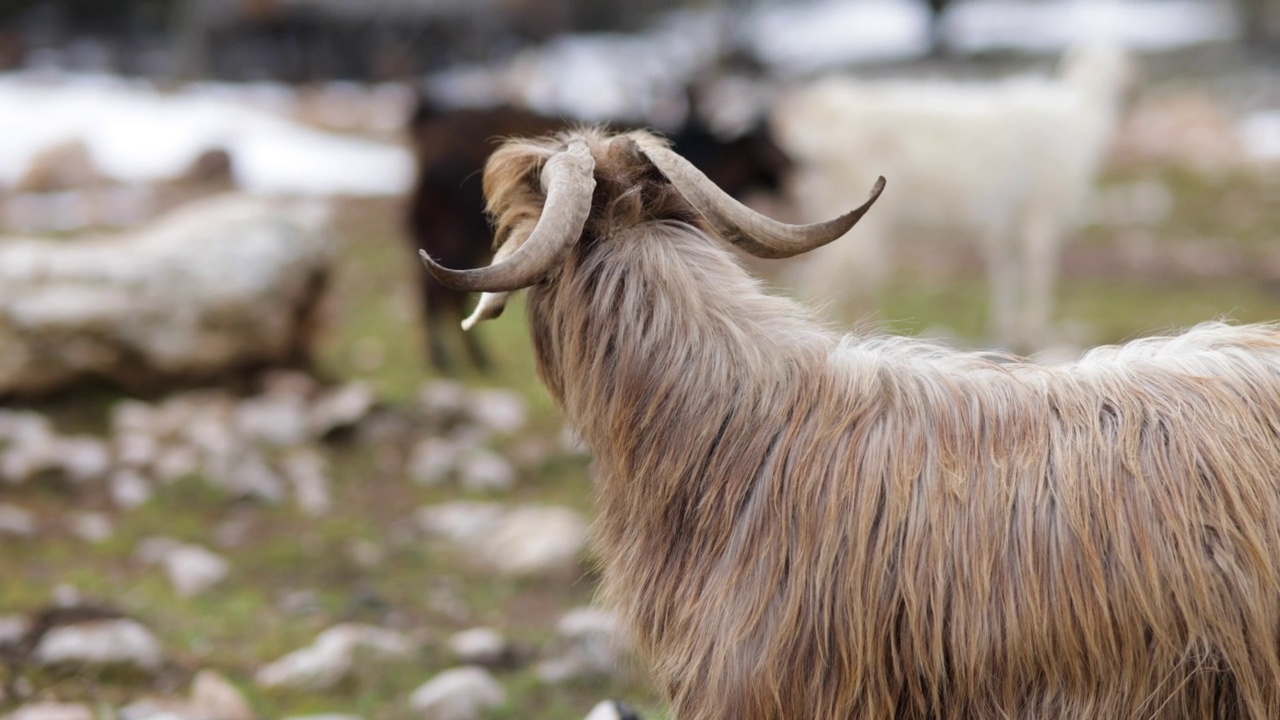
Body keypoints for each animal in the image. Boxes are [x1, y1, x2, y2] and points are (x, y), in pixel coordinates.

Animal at [773, 43, 1136, 351]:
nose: (1131, 87)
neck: (1082, 115)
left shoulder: (1007, 220)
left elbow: (1006, 270)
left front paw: (1007, 329)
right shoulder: (1041, 211)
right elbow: (1037, 269)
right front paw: (1034, 331)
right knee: (829, 276)